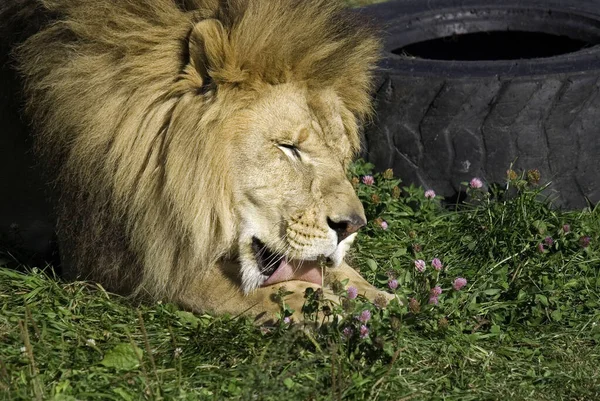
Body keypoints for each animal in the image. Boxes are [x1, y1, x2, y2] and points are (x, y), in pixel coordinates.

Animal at [5, 0, 394, 322]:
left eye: (341, 156)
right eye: (288, 147)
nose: (352, 228)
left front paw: (377, 296)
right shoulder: (108, 253)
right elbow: (218, 284)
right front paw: (316, 302)